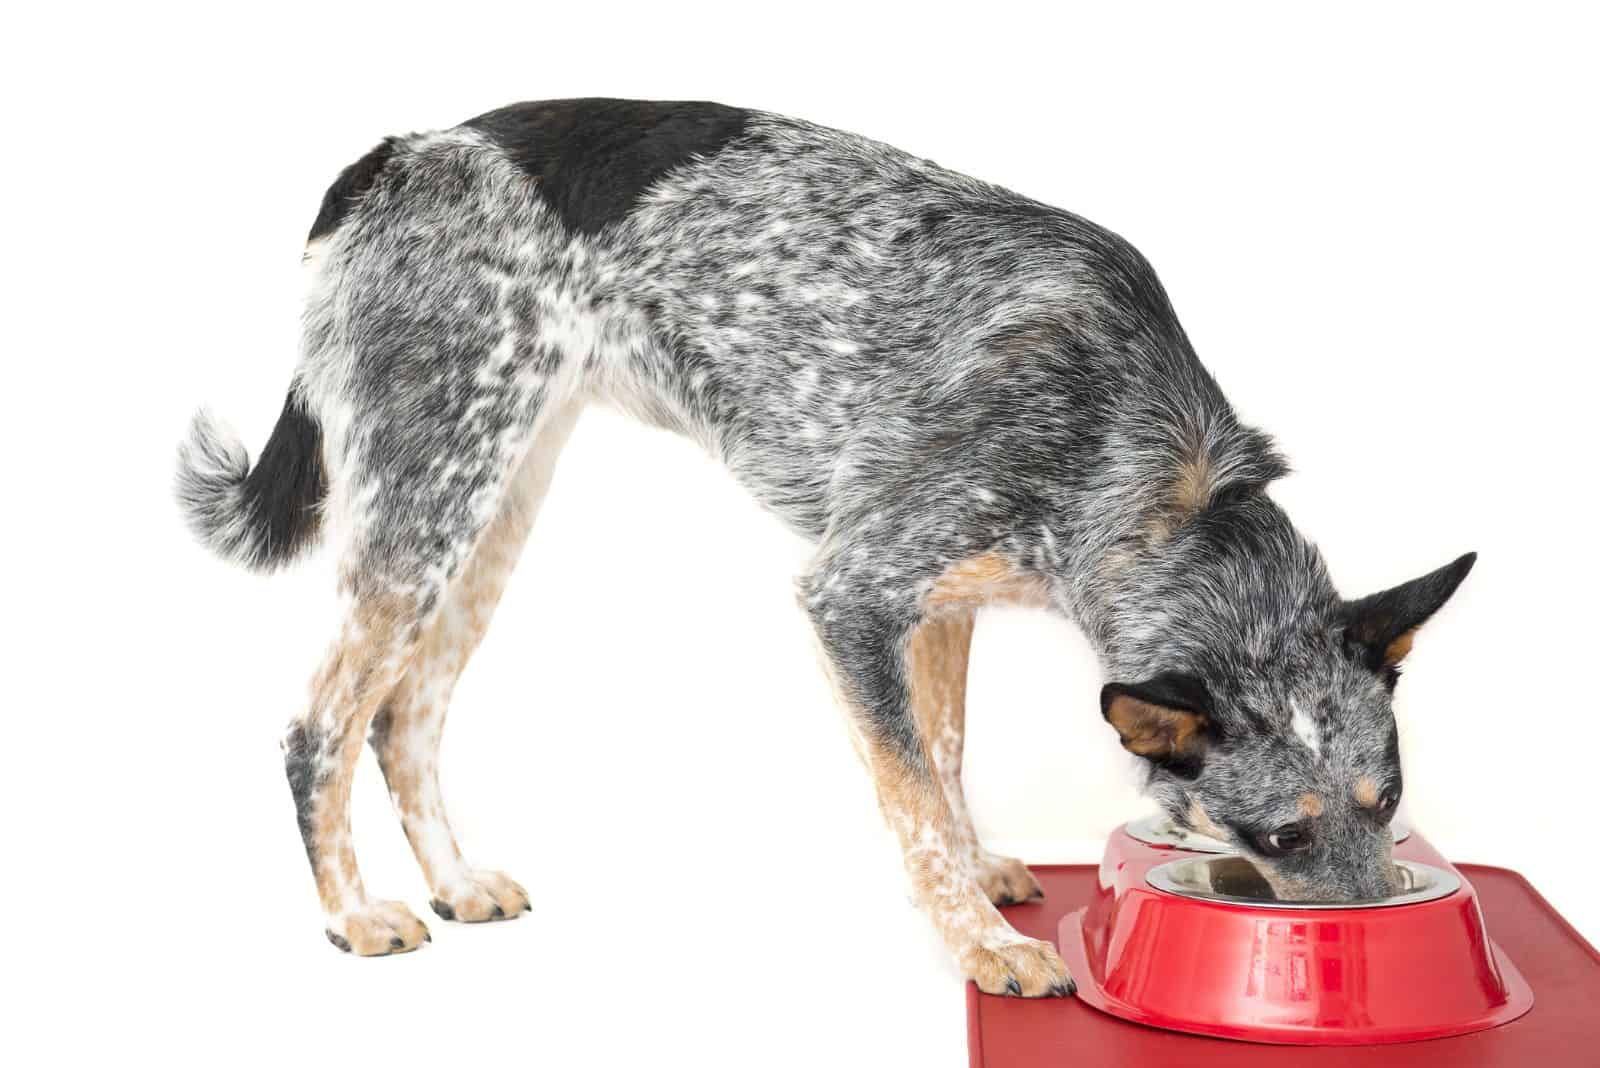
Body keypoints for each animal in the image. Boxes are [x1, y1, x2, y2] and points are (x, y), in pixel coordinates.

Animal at [175, 99, 1472, 991]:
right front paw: (979, 942)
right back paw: (353, 914)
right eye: (1278, 835)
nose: (1369, 941)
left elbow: (941, 759)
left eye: (1391, 802)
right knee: (318, 728)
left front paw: (982, 881)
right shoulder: (852, 594)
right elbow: (908, 791)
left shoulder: (941, 604)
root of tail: (402, 149)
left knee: (405, 717)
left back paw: (451, 885)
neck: (1163, 476)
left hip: (490, 516)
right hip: (426, 510)